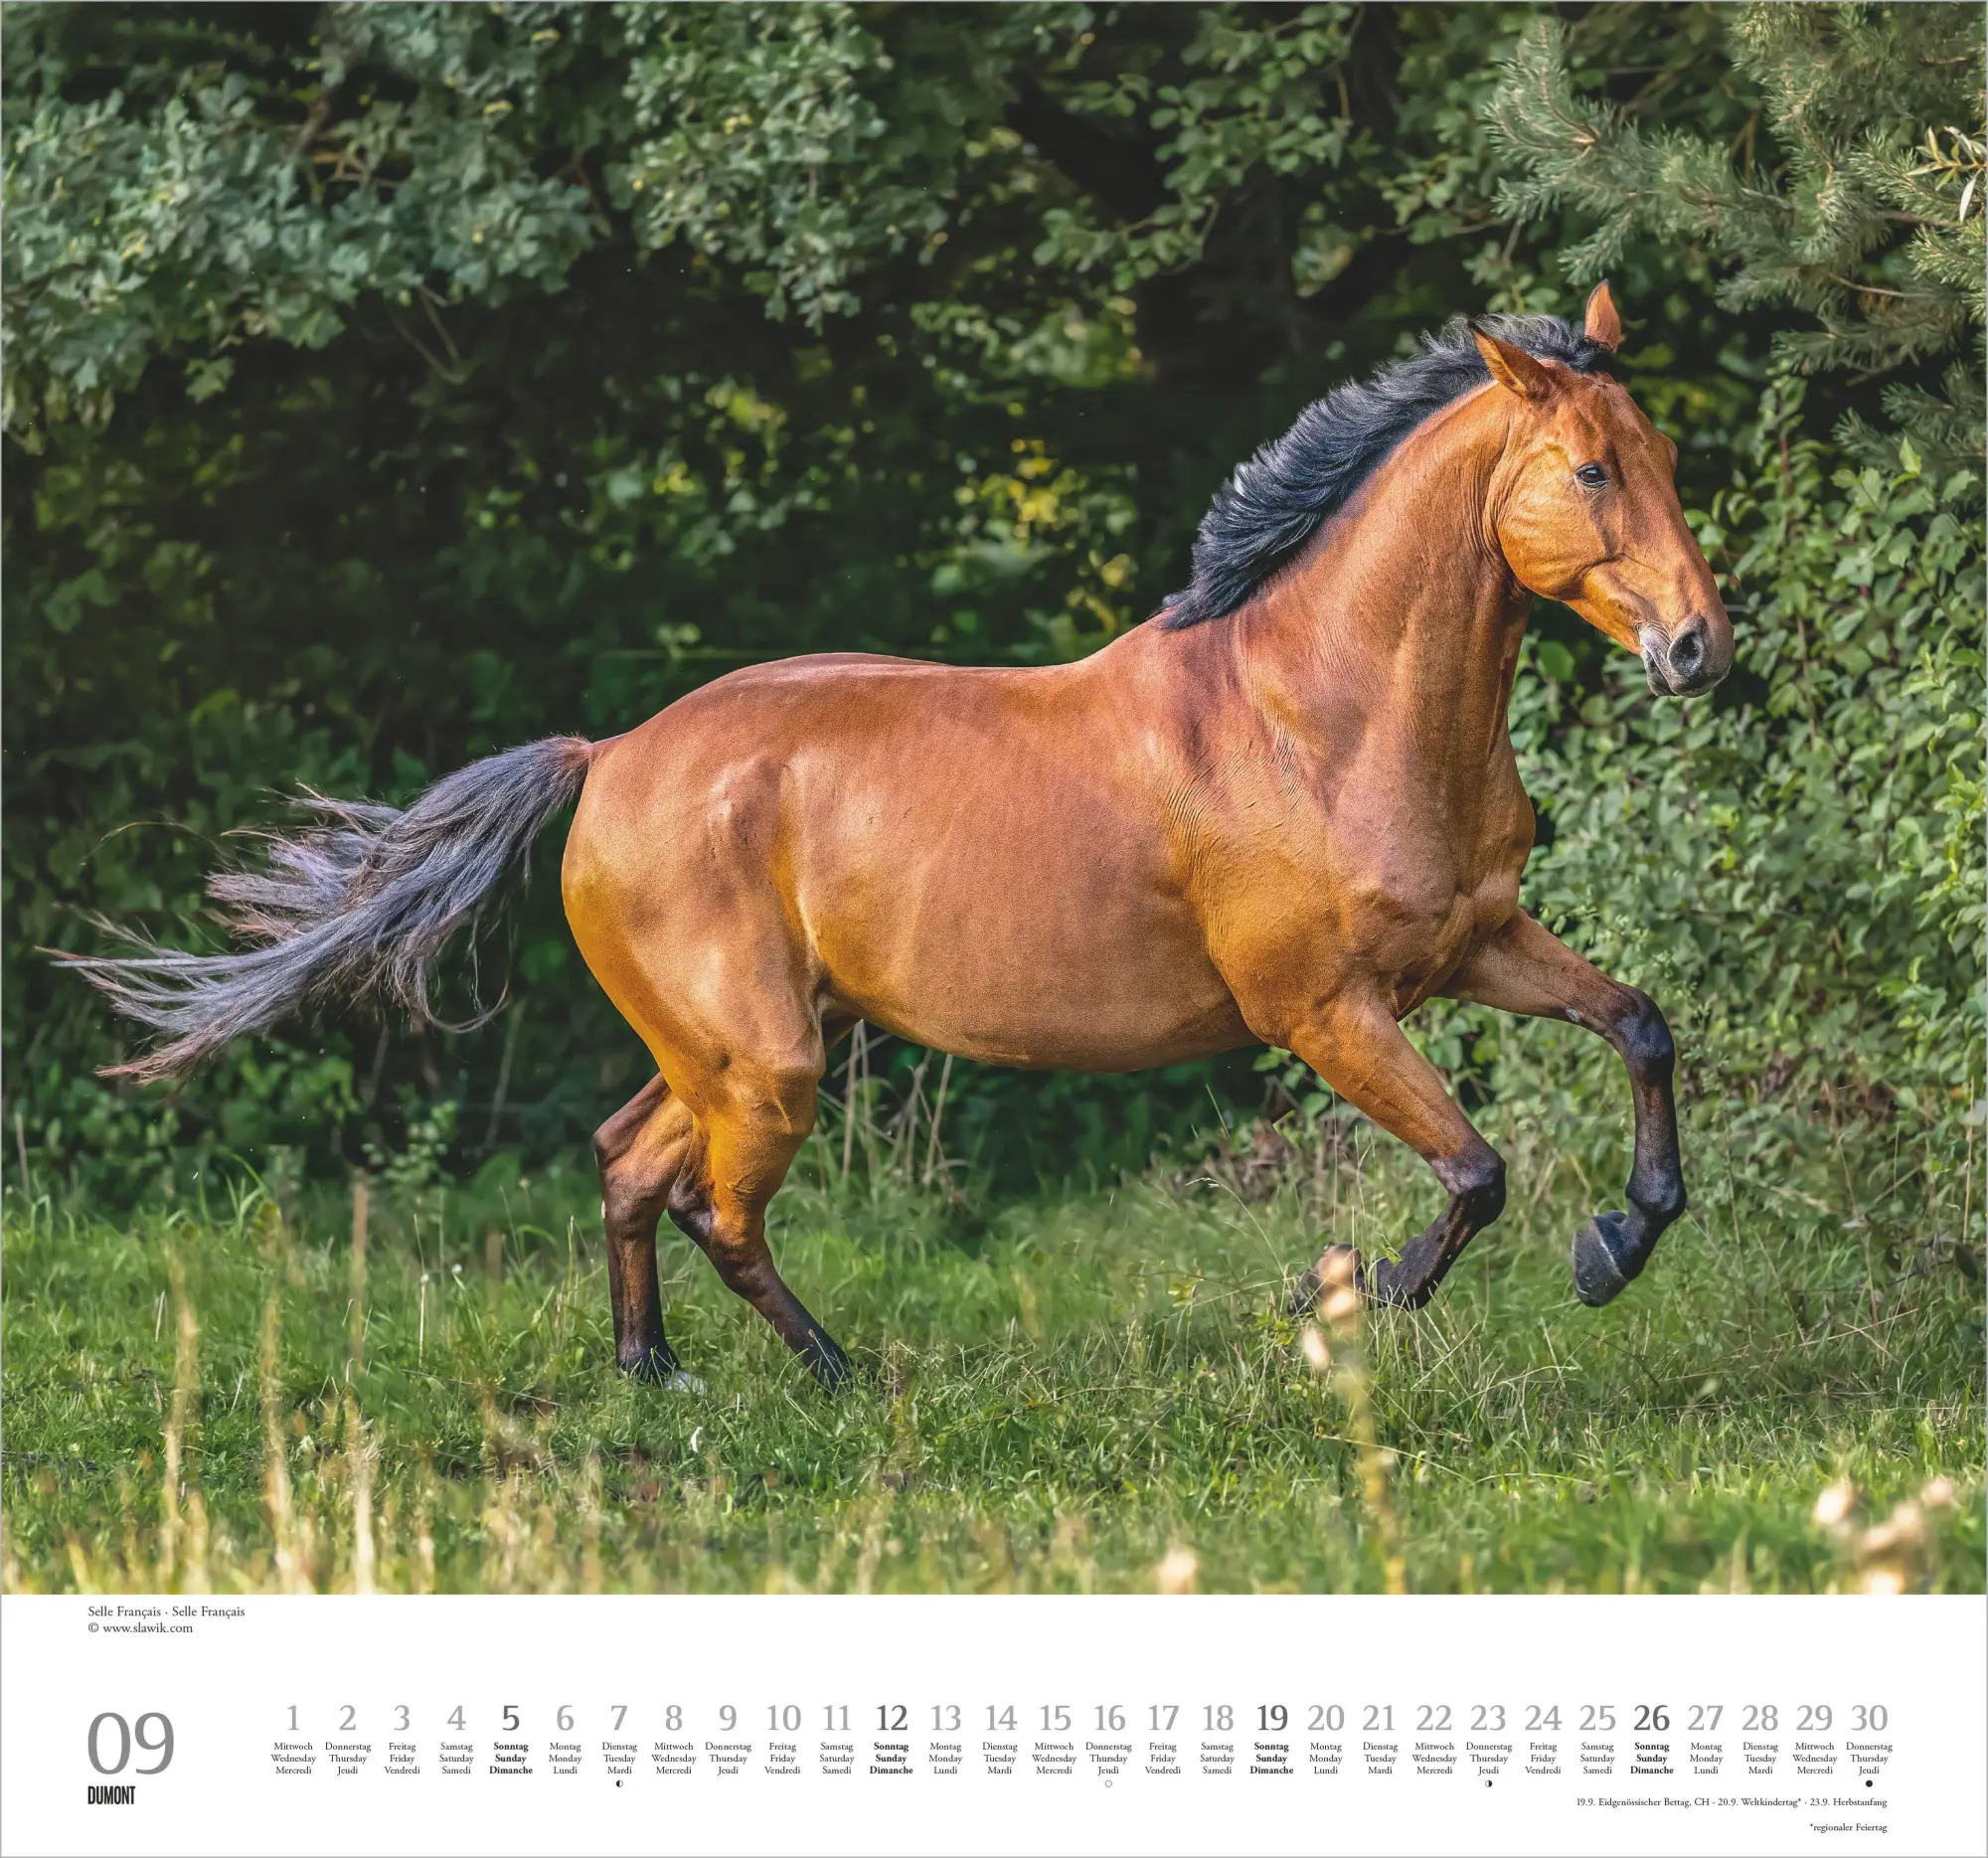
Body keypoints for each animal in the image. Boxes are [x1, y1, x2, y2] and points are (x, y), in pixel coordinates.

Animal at [64, 282, 1732, 1391]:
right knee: (713, 1208)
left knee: (625, 1164)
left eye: (1666, 453)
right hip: (766, 1063)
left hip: (727, 1048)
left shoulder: (1477, 944)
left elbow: (1643, 1025)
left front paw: (1626, 1234)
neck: (1321, 714)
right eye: (1593, 468)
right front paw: (1377, 1297)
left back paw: (653, 1376)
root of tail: (607, 759)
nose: (1699, 649)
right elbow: (1476, 1173)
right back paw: (837, 1376)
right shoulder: (1324, 1009)